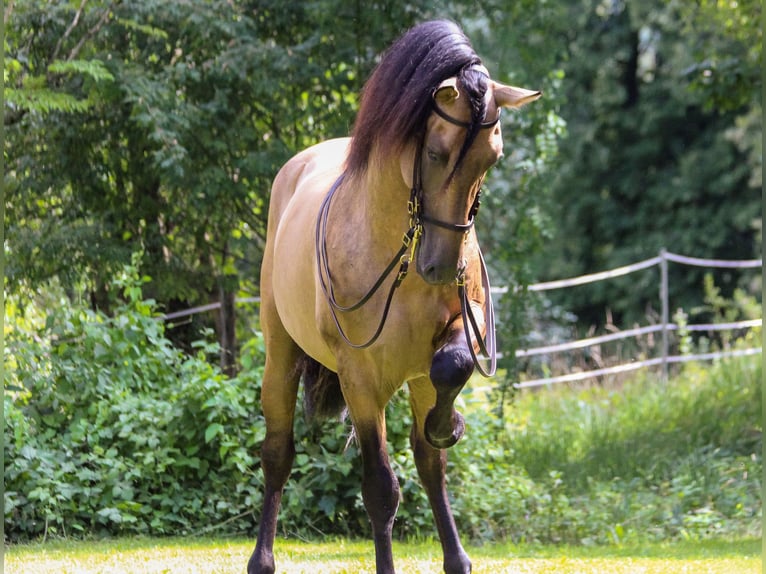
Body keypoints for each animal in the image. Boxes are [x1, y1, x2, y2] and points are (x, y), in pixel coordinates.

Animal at [249, 18, 544, 574]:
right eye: (435, 153)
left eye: (491, 159)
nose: (441, 267)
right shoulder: (360, 381)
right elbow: (381, 490)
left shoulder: (452, 338)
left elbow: (448, 392)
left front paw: (448, 426)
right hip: (281, 355)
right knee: (277, 453)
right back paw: (262, 560)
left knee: (429, 461)